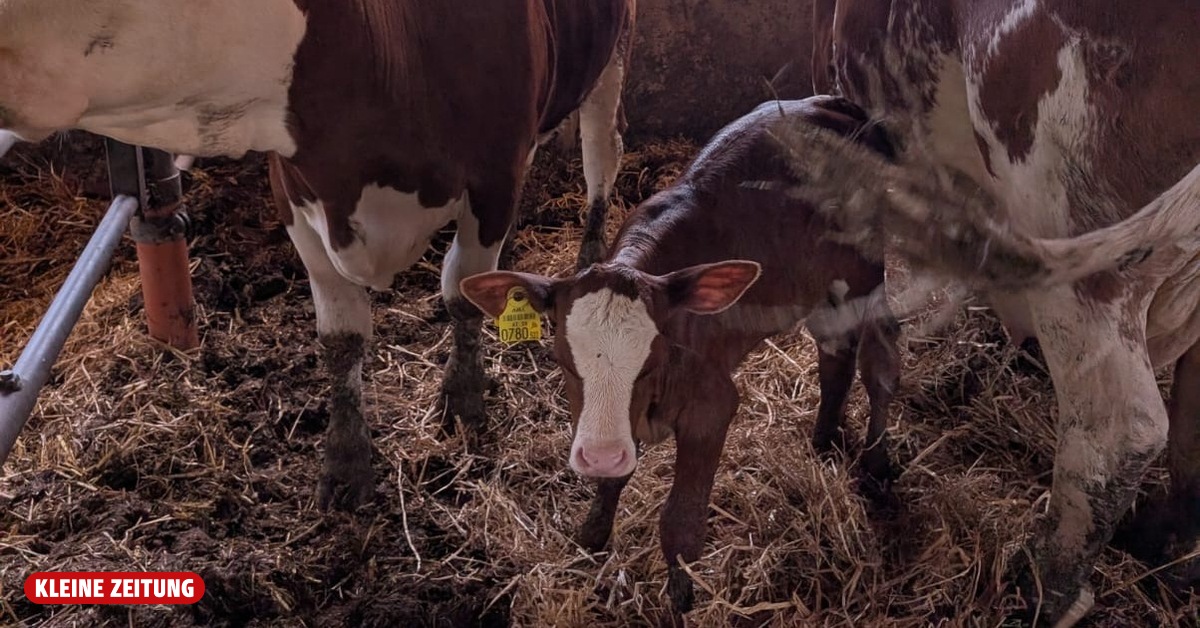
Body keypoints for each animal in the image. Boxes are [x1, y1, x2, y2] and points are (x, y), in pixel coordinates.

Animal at [0, 0, 636, 510]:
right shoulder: (294, 188)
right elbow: (341, 336)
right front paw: (346, 462)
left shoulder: (495, 176)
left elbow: (462, 292)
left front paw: (463, 400)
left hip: (611, 58)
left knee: (601, 155)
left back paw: (592, 255)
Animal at [460, 96, 901, 613]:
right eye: (562, 362)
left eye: (653, 361)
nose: (596, 456)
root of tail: (826, 102)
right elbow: (615, 477)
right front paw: (593, 533)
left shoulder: (712, 406)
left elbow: (681, 522)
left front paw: (681, 596)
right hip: (817, 283)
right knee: (835, 352)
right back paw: (824, 438)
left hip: (864, 269)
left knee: (880, 359)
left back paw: (876, 460)